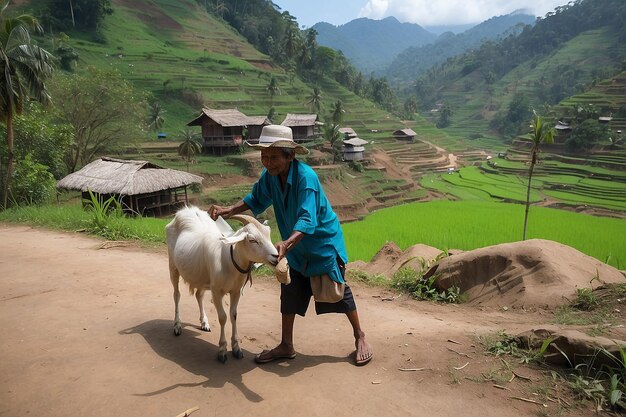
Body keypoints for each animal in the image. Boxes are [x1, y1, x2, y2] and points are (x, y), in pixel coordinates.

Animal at [165, 206, 276, 362]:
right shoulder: (216, 291)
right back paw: (177, 325)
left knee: (199, 295)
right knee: (176, 295)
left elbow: (233, 315)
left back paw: (204, 323)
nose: (276, 256)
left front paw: (236, 348)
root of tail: (185, 211)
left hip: (201, 276)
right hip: (173, 267)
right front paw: (222, 349)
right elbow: (223, 317)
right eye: (252, 240)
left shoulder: (235, 291)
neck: (229, 259)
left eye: (269, 235)